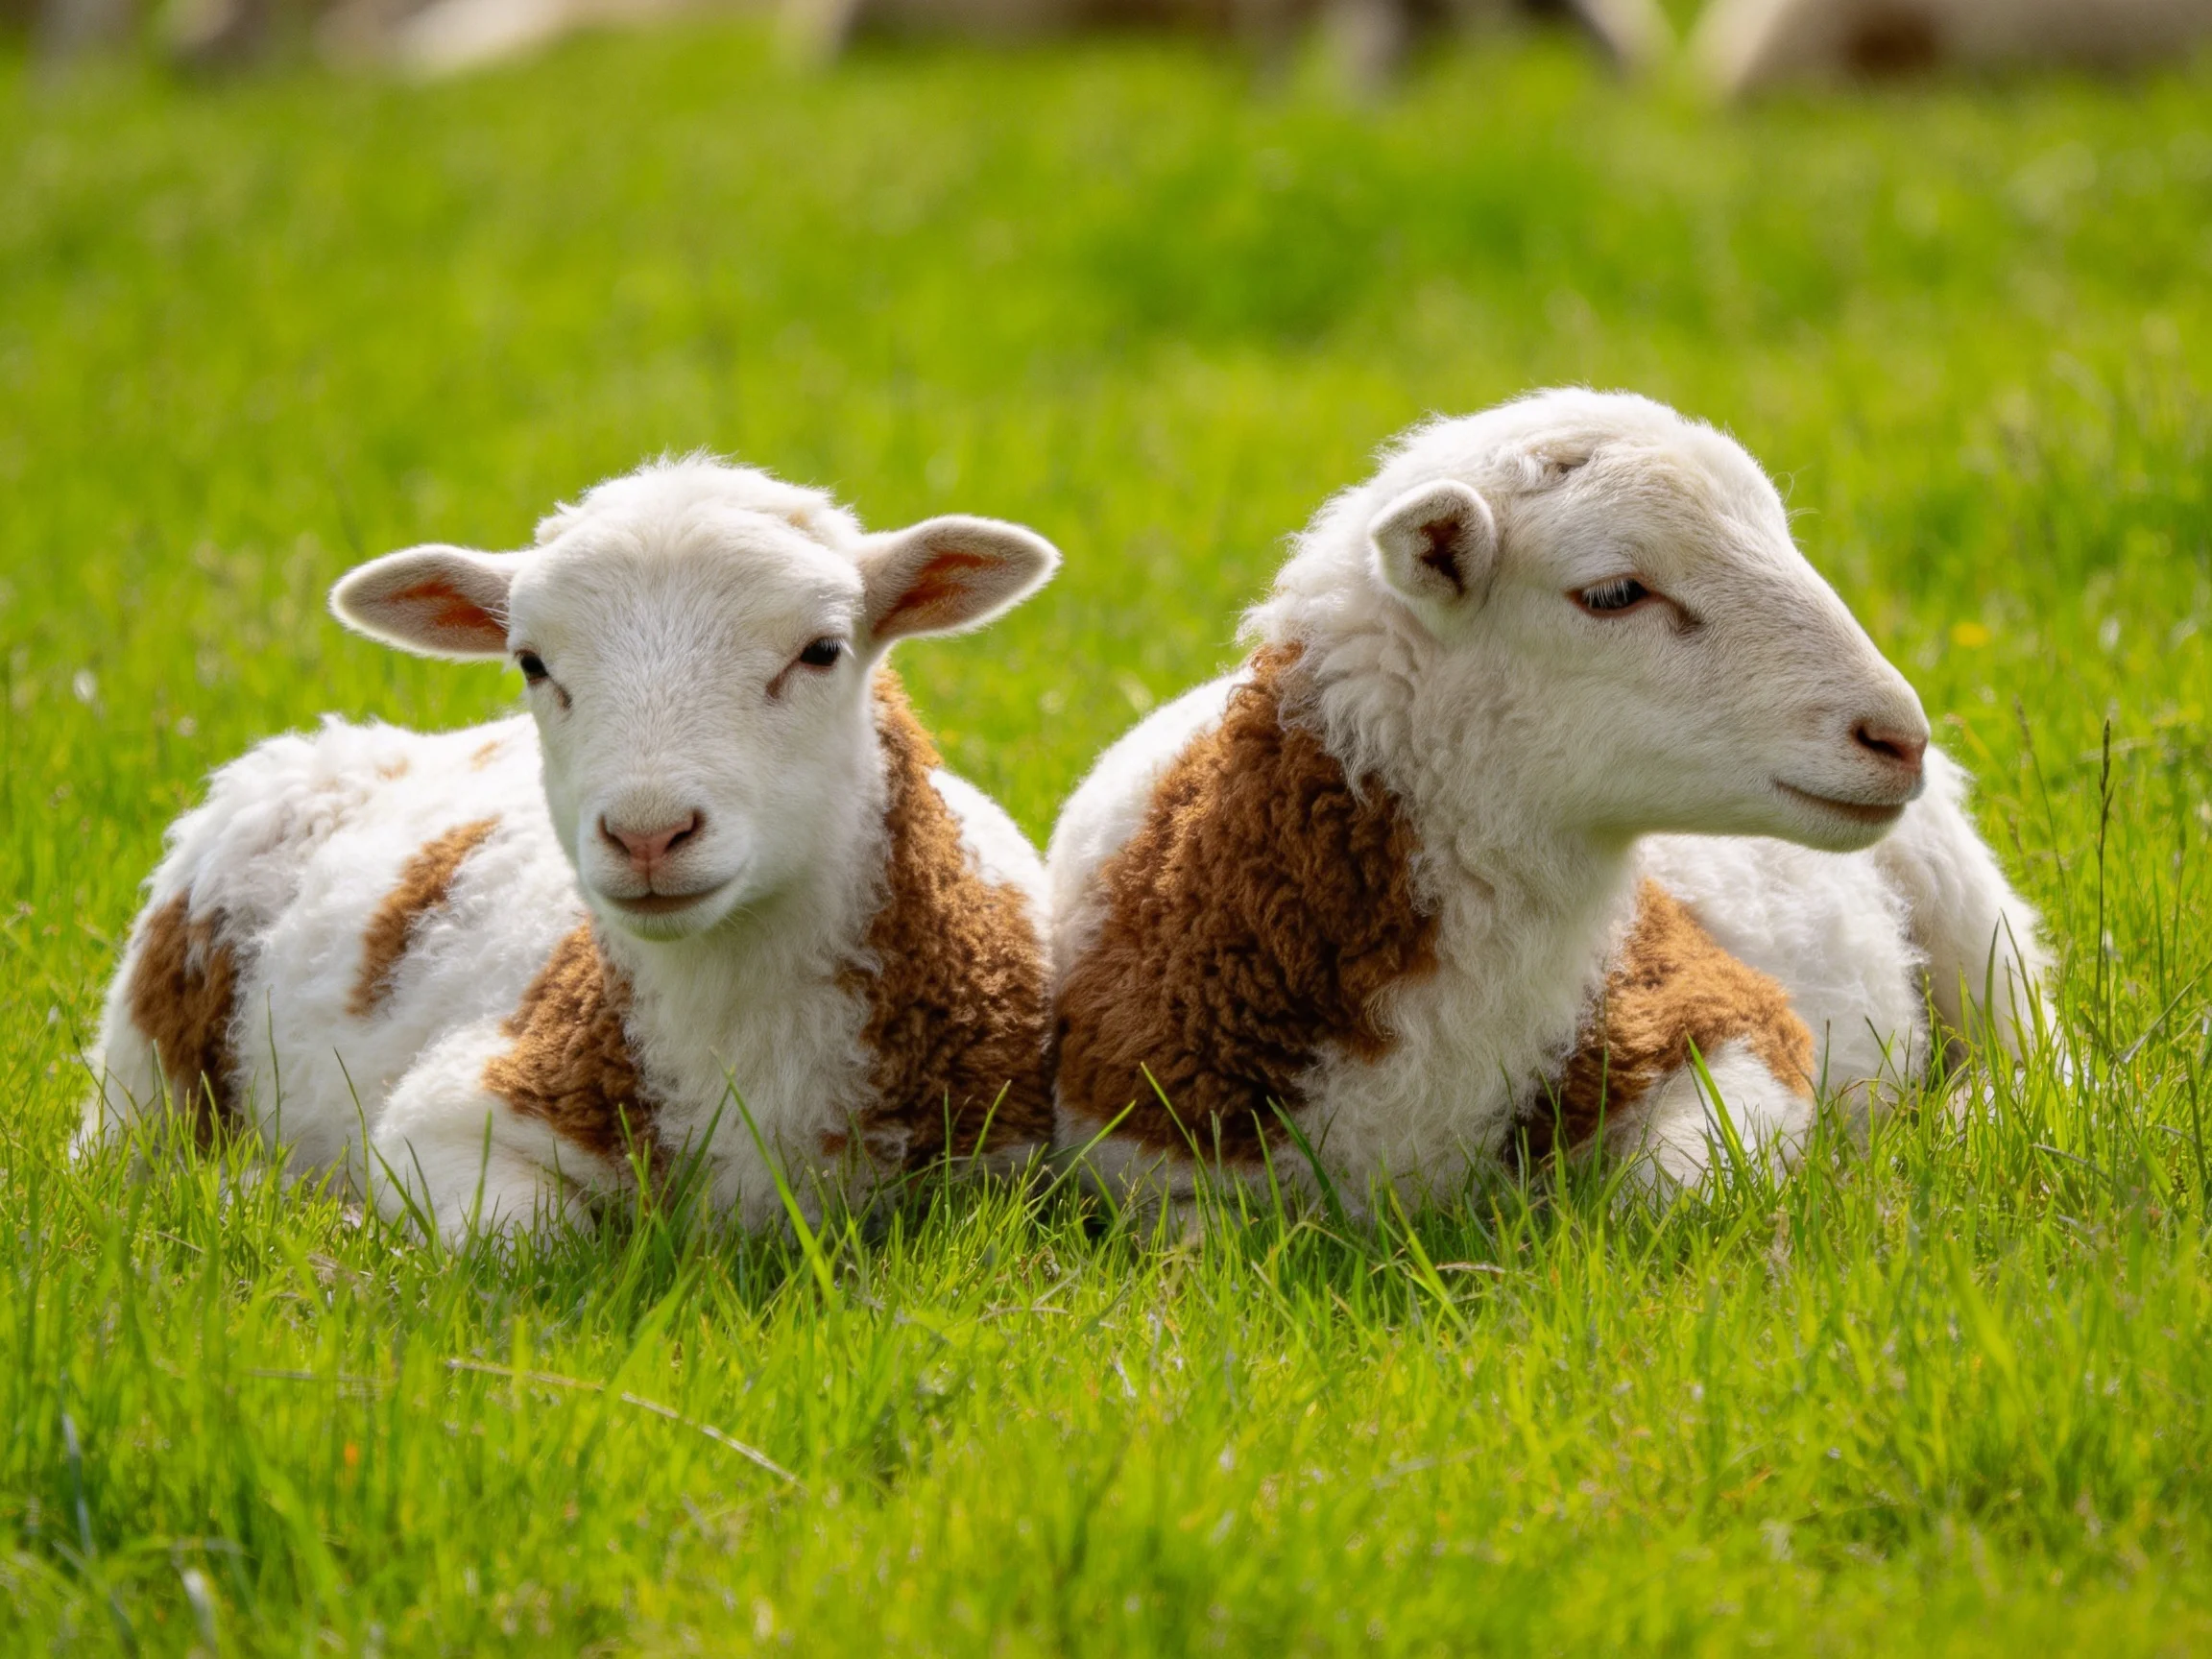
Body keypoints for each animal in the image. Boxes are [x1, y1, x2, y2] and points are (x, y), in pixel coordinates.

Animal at [80, 457, 1062, 1238]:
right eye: (532, 663)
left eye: (821, 650)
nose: (647, 833)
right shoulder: (452, 1115)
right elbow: (529, 1241)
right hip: (149, 1061)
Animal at [1049, 388, 2048, 1205]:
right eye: (1612, 592)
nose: (1898, 736)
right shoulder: (1142, 1161)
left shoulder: (1722, 1013)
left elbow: (1670, 1188)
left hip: (1960, 896)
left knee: (2036, 1045)